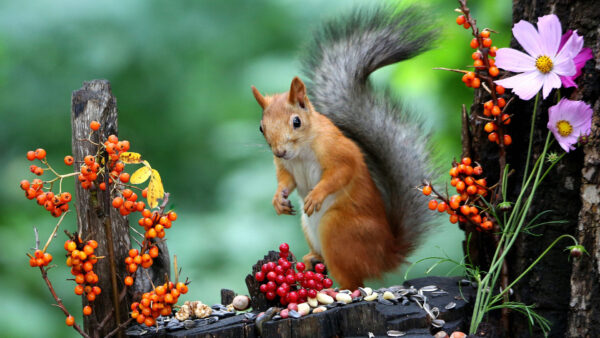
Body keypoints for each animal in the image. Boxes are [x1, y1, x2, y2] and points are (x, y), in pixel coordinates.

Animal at [251, 2, 434, 290]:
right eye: (261, 127)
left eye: (296, 121)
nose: (279, 151)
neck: (300, 153)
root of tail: (386, 254)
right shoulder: (285, 166)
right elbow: (286, 180)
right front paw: (278, 199)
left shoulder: (338, 150)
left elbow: (341, 172)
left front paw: (316, 194)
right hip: (311, 228)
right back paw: (312, 258)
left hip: (337, 230)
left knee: (354, 281)